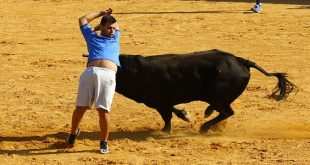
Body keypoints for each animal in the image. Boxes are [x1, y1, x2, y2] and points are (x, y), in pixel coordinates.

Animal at [115, 49, 294, 133]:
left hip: (219, 98)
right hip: (220, 98)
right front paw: (185, 116)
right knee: (223, 111)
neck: (135, 71)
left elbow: (167, 117)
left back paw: (205, 126)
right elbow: (174, 112)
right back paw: (209, 116)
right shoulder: (162, 102)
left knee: (226, 112)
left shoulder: (160, 102)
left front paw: (164, 131)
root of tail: (241, 61)